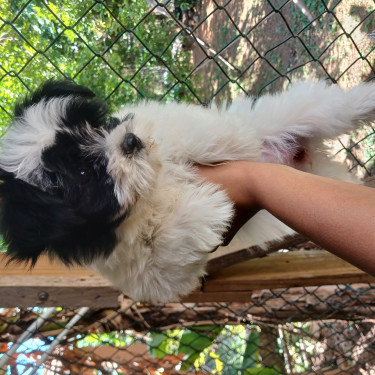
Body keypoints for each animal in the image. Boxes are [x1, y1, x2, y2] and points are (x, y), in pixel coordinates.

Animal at [0, 81, 374, 304]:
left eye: (98, 125)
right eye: (84, 173)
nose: (129, 140)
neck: (149, 189)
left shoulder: (164, 126)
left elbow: (189, 131)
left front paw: (230, 143)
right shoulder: (141, 272)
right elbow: (169, 251)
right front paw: (207, 208)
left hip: (288, 117)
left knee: (324, 108)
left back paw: (364, 100)